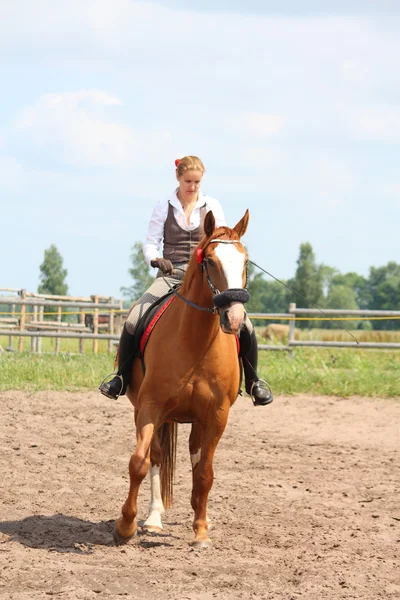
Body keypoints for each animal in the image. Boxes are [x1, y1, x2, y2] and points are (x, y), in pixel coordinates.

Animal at [113, 207, 250, 548]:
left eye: (245, 262)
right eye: (210, 261)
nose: (235, 318)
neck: (195, 343)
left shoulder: (216, 416)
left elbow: (204, 473)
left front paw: (200, 531)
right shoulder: (149, 408)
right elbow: (140, 462)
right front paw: (125, 525)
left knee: (196, 460)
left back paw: (201, 516)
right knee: (157, 458)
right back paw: (153, 519)